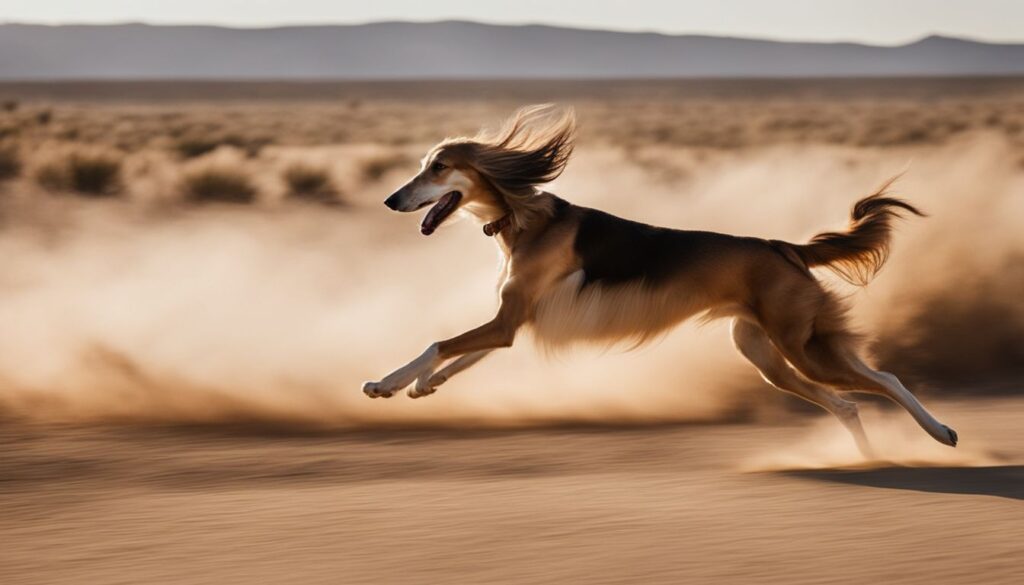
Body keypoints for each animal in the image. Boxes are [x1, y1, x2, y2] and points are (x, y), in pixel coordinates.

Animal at [362, 103, 958, 452]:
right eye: (423, 165)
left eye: (438, 168)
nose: (391, 200)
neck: (524, 217)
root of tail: (782, 248)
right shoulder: (516, 321)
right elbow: (460, 358)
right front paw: (420, 385)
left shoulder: (509, 321)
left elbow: (439, 343)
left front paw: (386, 381)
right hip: (767, 357)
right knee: (847, 403)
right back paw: (870, 458)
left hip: (802, 348)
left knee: (885, 379)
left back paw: (941, 432)